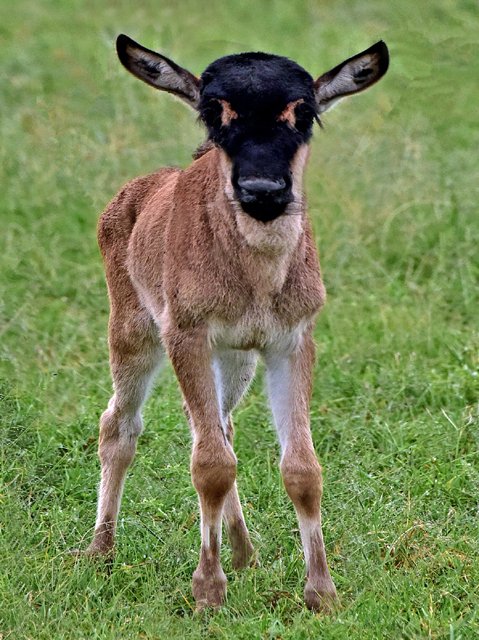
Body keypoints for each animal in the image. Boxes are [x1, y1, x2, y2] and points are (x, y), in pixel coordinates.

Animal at [86, 34, 389, 612]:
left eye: (304, 111)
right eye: (212, 110)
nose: (263, 190)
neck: (256, 283)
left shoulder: (291, 340)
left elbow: (302, 467)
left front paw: (322, 594)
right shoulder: (186, 333)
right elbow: (209, 465)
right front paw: (208, 590)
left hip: (236, 357)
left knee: (219, 425)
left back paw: (246, 553)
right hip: (133, 331)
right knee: (121, 425)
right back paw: (99, 553)